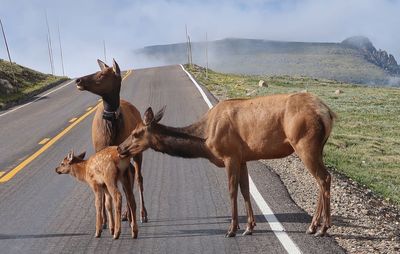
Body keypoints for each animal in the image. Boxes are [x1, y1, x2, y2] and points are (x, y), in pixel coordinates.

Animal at [74, 60, 148, 224]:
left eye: (102, 74)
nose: (78, 80)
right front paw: (104, 220)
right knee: (130, 175)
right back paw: (127, 213)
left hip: (136, 152)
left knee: (138, 177)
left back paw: (142, 213)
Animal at [117, 93, 336, 238]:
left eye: (136, 133)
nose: (120, 148)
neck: (205, 142)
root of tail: (328, 113)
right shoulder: (242, 157)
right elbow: (245, 190)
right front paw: (249, 226)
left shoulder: (230, 155)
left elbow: (232, 190)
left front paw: (231, 229)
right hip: (317, 148)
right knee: (321, 180)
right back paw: (313, 226)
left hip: (304, 143)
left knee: (324, 178)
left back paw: (322, 228)